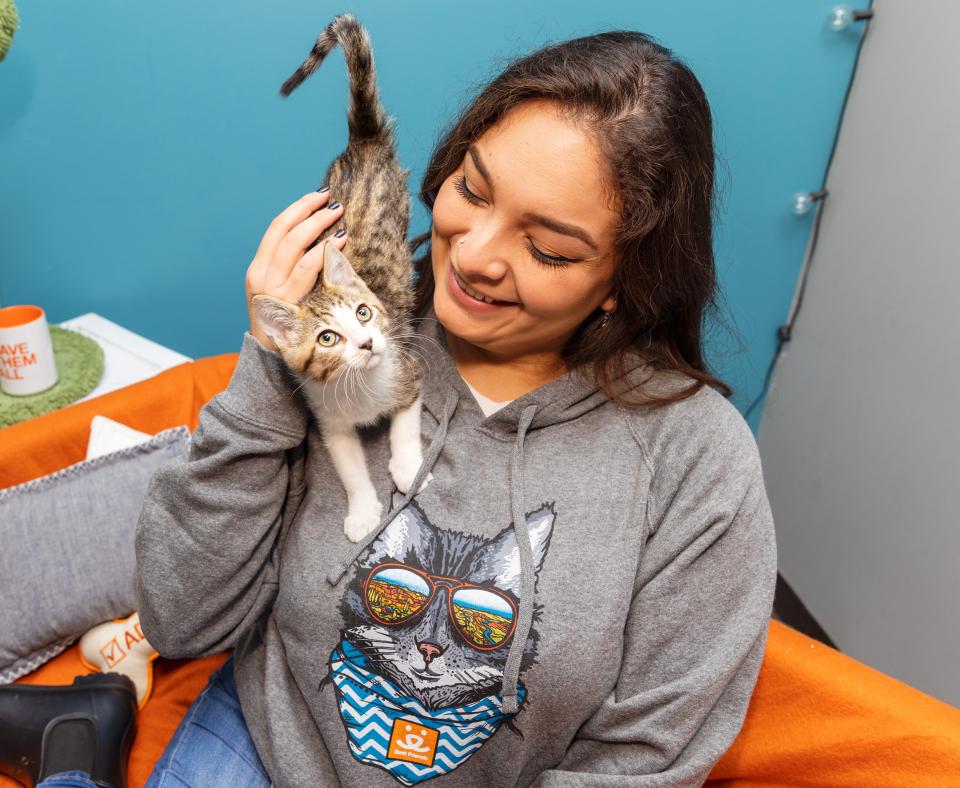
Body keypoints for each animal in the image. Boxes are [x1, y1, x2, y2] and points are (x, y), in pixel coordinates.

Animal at [253, 13, 426, 540]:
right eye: (327, 338)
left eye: (364, 312)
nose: (368, 343)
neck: (362, 387)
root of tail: (362, 142)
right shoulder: (329, 419)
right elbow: (348, 467)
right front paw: (364, 510)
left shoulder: (409, 371)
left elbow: (405, 424)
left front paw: (408, 467)